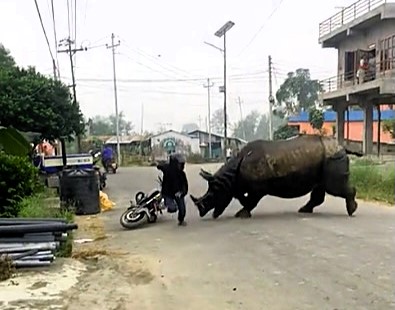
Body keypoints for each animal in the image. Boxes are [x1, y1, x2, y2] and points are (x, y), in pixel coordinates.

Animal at [190, 134, 364, 219]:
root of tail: (342, 146)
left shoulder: (258, 188)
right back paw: (304, 210)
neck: (229, 177)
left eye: (212, 195)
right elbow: (243, 197)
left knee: (333, 187)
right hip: (324, 159)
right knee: (320, 187)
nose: (201, 212)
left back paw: (351, 211)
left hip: (331, 158)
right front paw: (242, 208)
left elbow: (251, 200)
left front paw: (241, 215)